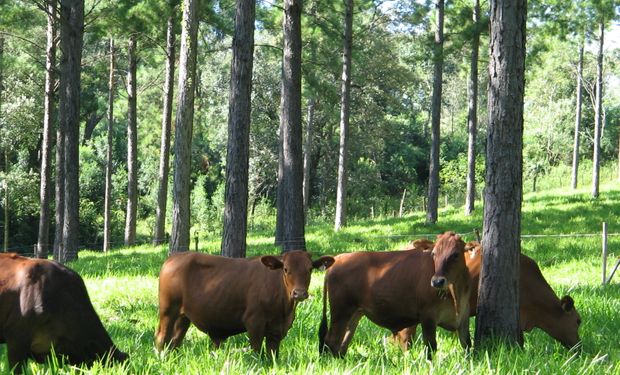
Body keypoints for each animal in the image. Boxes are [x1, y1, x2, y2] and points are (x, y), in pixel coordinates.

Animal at [320, 232, 470, 362]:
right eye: (434, 254)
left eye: (455, 254)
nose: (437, 281)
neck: (455, 294)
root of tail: (338, 259)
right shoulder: (428, 318)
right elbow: (430, 348)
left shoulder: (463, 318)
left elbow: (467, 344)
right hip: (340, 312)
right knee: (332, 341)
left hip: (354, 314)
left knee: (342, 342)